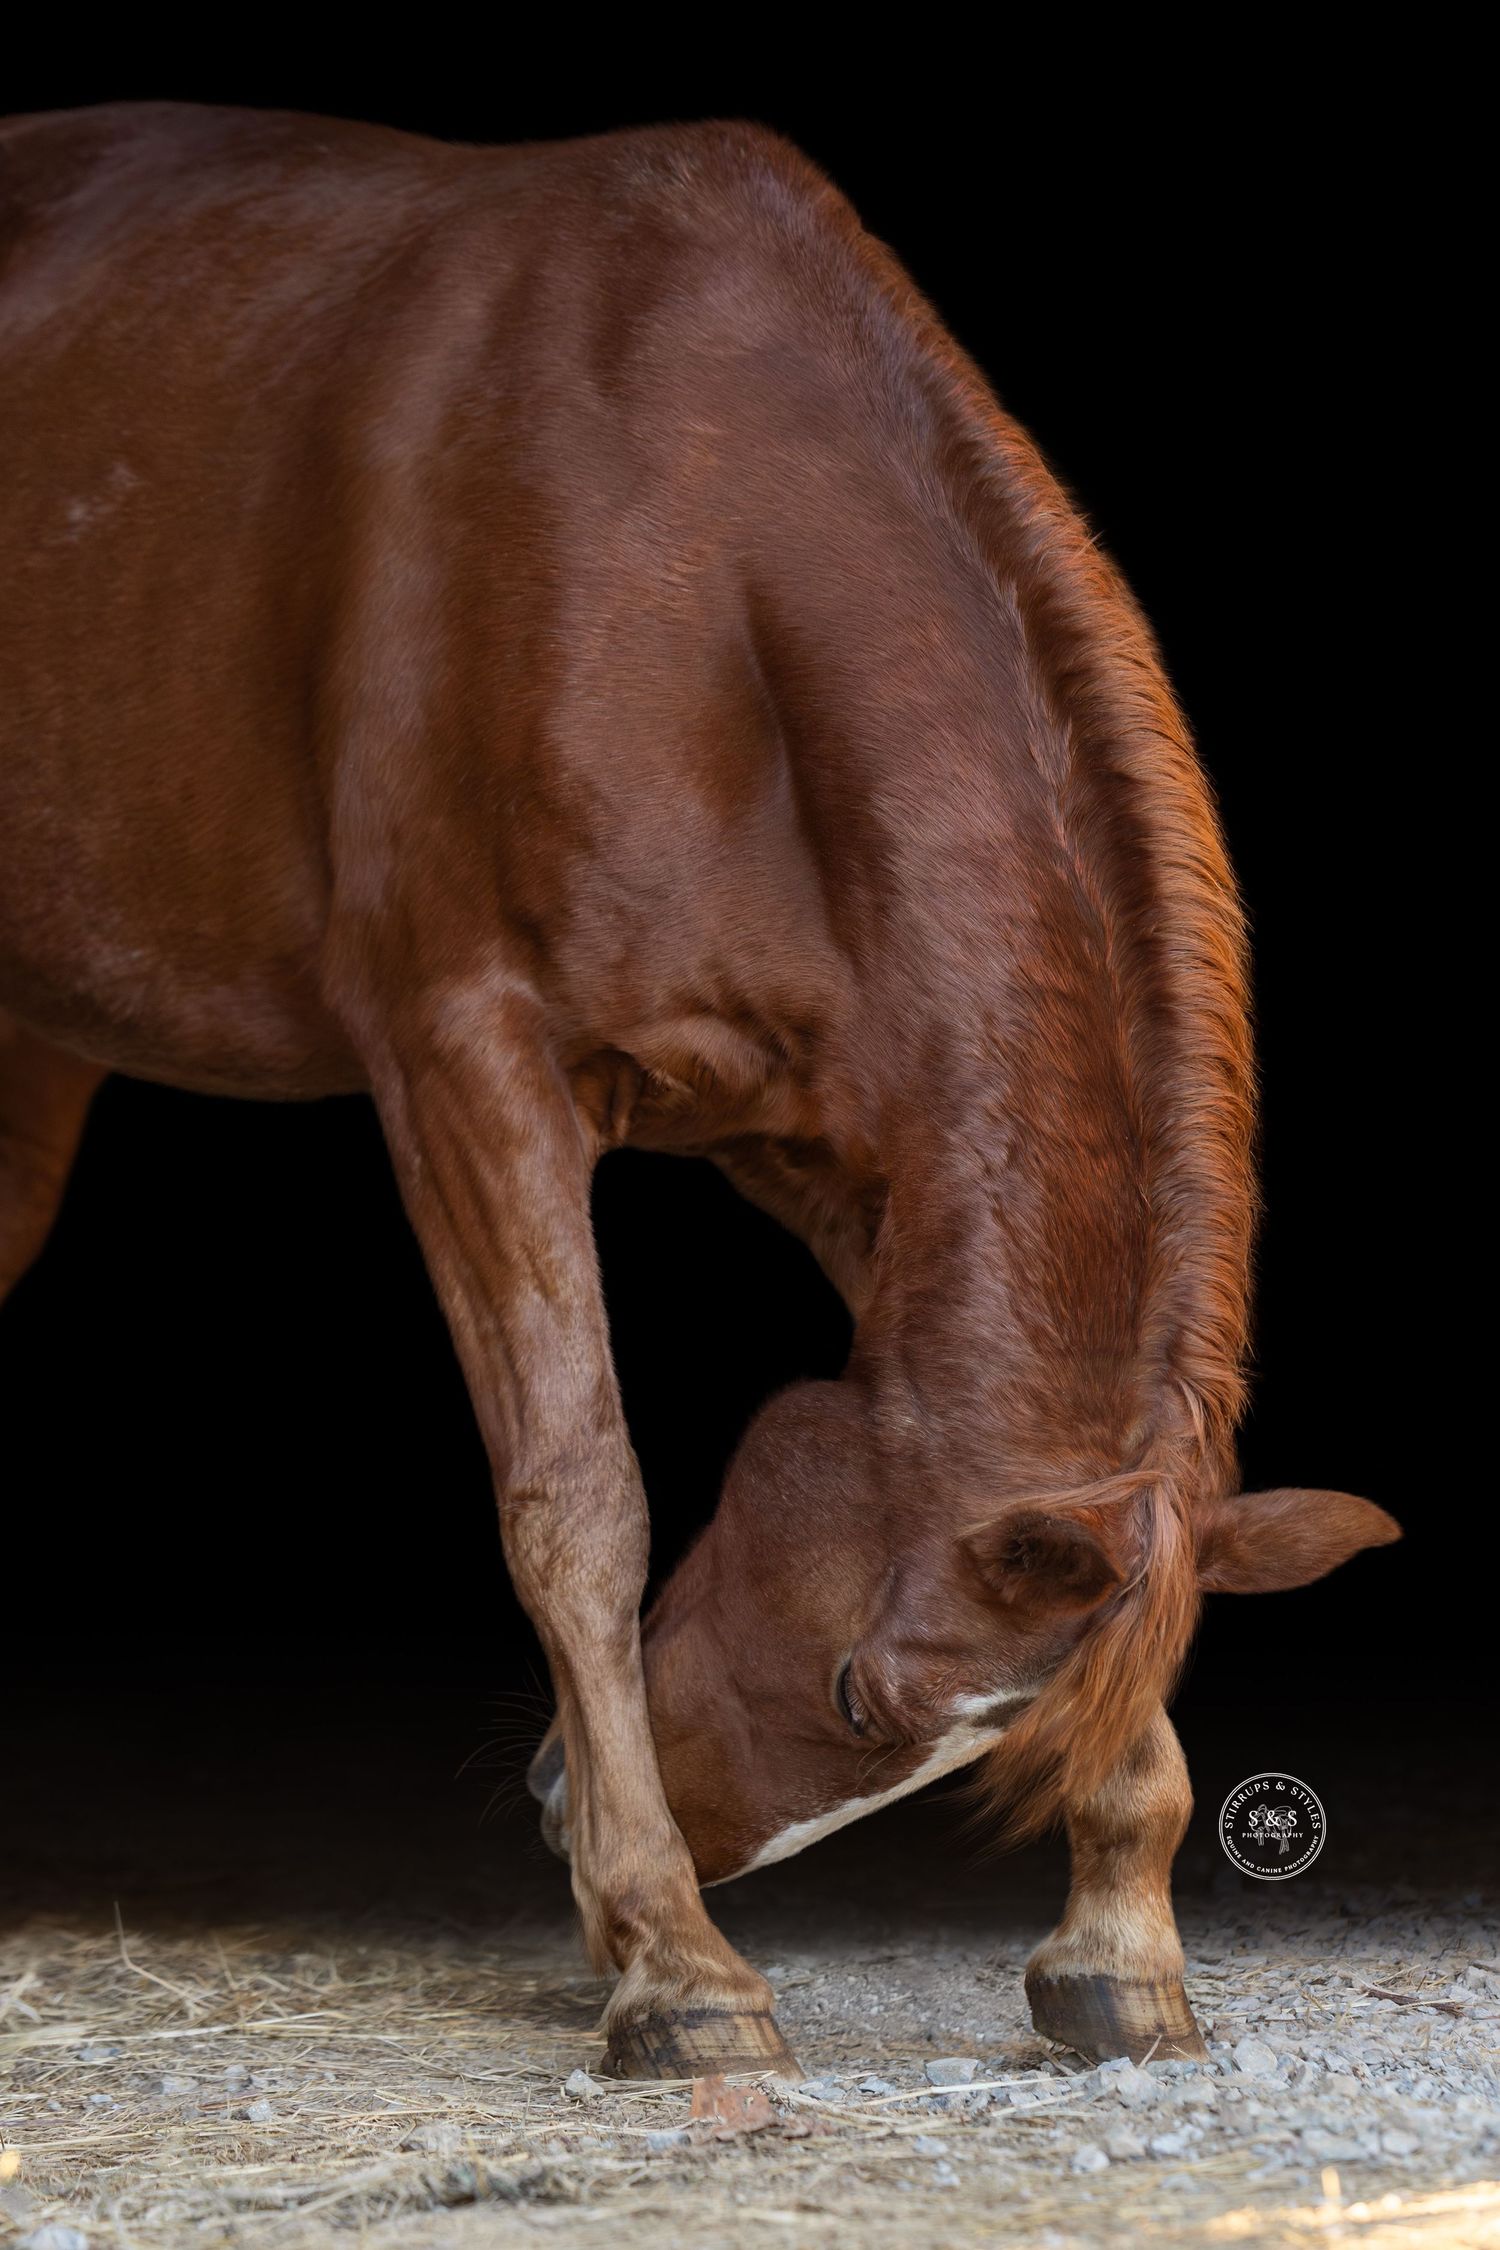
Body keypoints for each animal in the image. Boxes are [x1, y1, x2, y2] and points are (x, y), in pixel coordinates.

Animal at [0, 102, 1399, 2080]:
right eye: (860, 1697)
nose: (541, 1809)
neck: (688, 533)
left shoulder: (841, 1152)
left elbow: (1135, 1538)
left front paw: (1117, 1936)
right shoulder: (466, 1057)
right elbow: (576, 1494)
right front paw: (675, 1962)